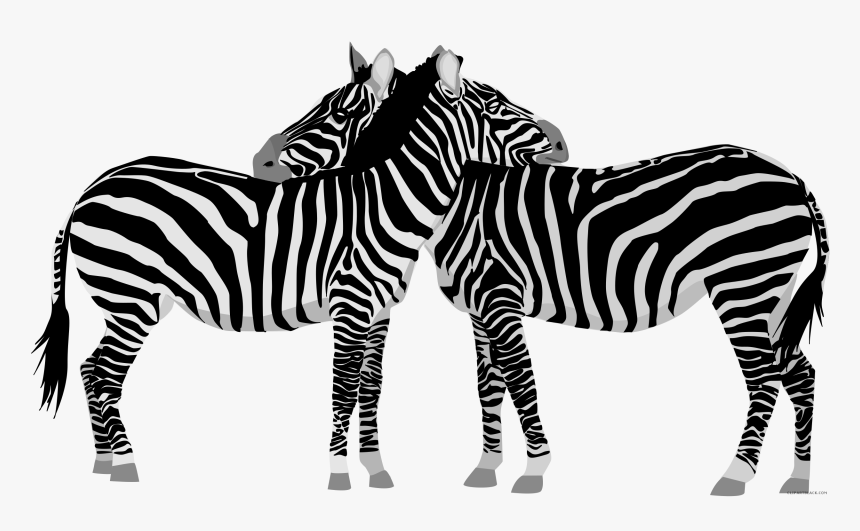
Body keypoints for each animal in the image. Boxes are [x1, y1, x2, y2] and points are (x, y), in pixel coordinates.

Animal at [31, 48, 563, 489]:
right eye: (496, 107)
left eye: (339, 112)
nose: (559, 141)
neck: (383, 201)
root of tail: (90, 189)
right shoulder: (351, 304)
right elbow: (342, 387)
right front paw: (338, 476)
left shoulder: (381, 312)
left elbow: (371, 387)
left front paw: (376, 471)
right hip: (130, 297)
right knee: (103, 373)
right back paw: (124, 465)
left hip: (131, 302)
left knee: (88, 368)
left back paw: (103, 462)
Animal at [421, 148, 827, 494]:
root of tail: (790, 175)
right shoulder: (479, 309)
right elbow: (487, 384)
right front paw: (486, 467)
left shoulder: (498, 297)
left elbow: (520, 380)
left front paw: (534, 469)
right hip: (770, 295)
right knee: (800, 374)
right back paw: (799, 477)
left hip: (744, 284)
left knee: (764, 378)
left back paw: (737, 474)